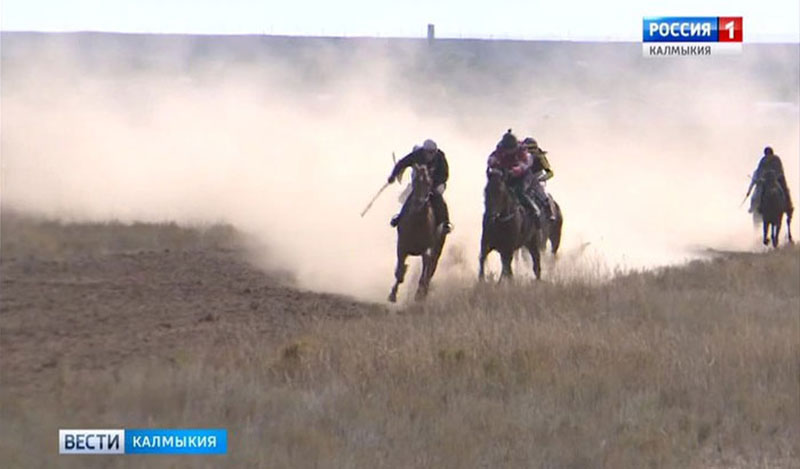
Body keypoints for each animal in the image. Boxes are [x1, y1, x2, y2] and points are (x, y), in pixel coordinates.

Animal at [390, 165, 450, 302]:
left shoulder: (427, 249)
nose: (419, 202)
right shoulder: (401, 246)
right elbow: (400, 270)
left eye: (428, 183)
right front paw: (393, 294)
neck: (417, 224)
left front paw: (418, 294)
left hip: (438, 249)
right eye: (415, 181)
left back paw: (423, 293)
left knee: (431, 270)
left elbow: (425, 270)